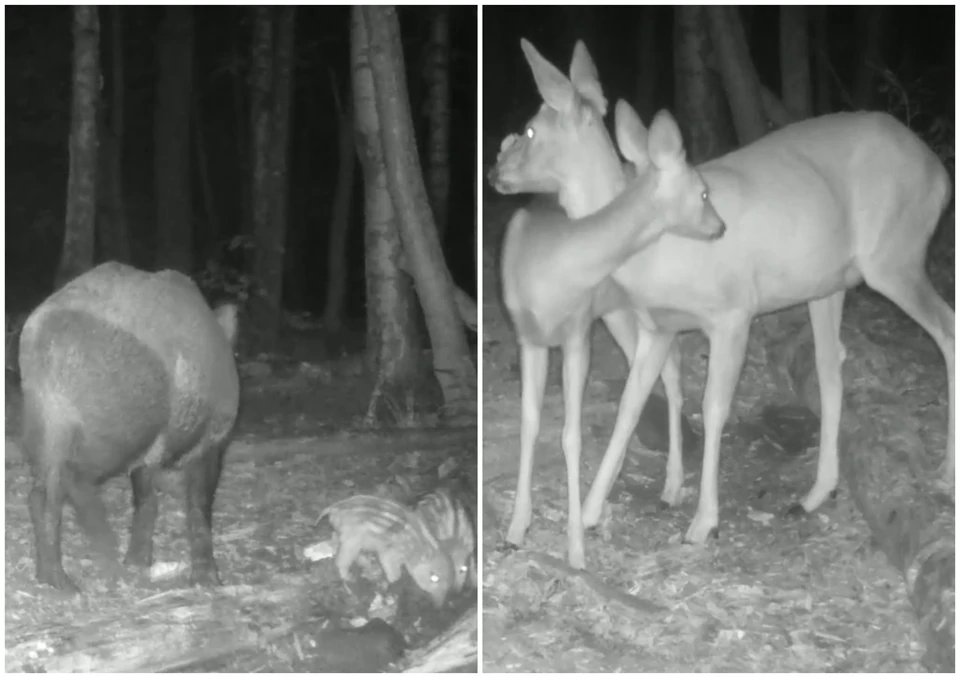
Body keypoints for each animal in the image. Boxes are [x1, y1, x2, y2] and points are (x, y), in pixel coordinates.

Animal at [492, 39, 724, 572]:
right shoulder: (527, 335)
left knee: (670, 378)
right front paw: (516, 528)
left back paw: (670, 486)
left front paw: (575, 548)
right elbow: (531, 424)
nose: (494, 171)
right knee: (661, 374)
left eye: (530, 129)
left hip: (628, 316)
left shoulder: (580, 330)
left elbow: (571, 433)